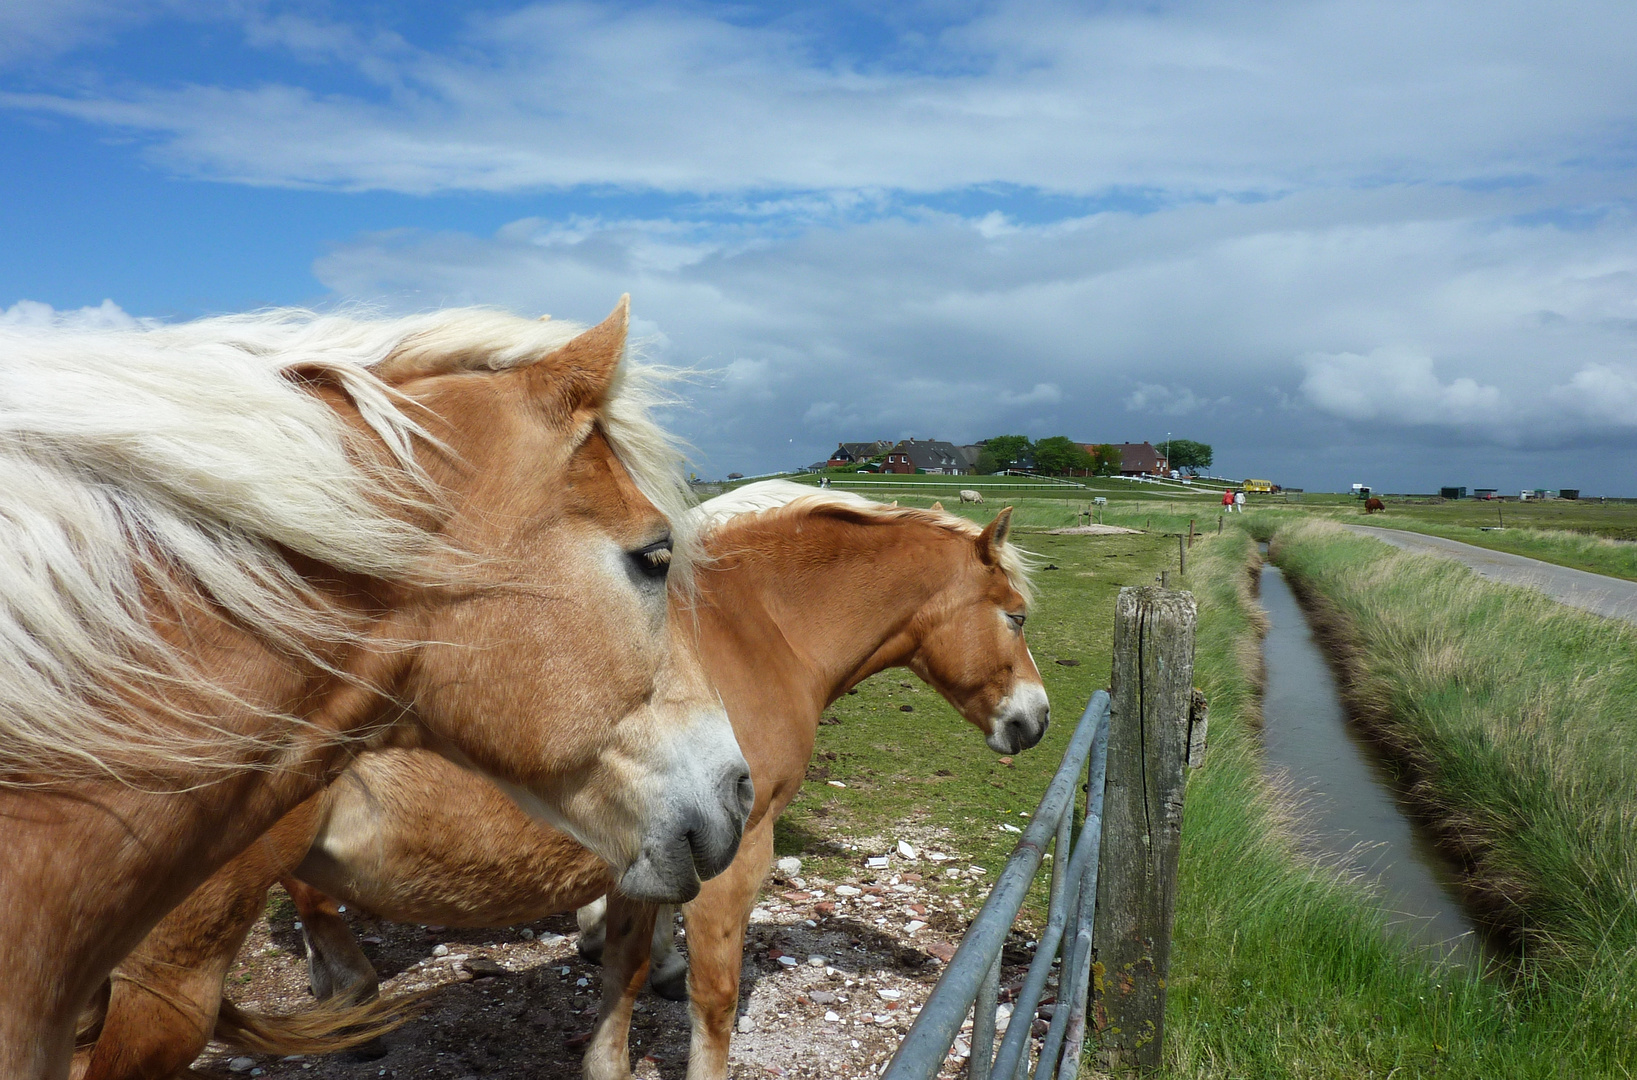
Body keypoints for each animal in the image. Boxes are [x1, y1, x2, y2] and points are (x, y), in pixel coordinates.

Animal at [79, 484, 1047, 1080]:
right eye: (1014, 616)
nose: (1034, 721)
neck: (750, 632)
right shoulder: (733, 859)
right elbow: (714, 1000)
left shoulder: (651, 856)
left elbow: (623, 966)